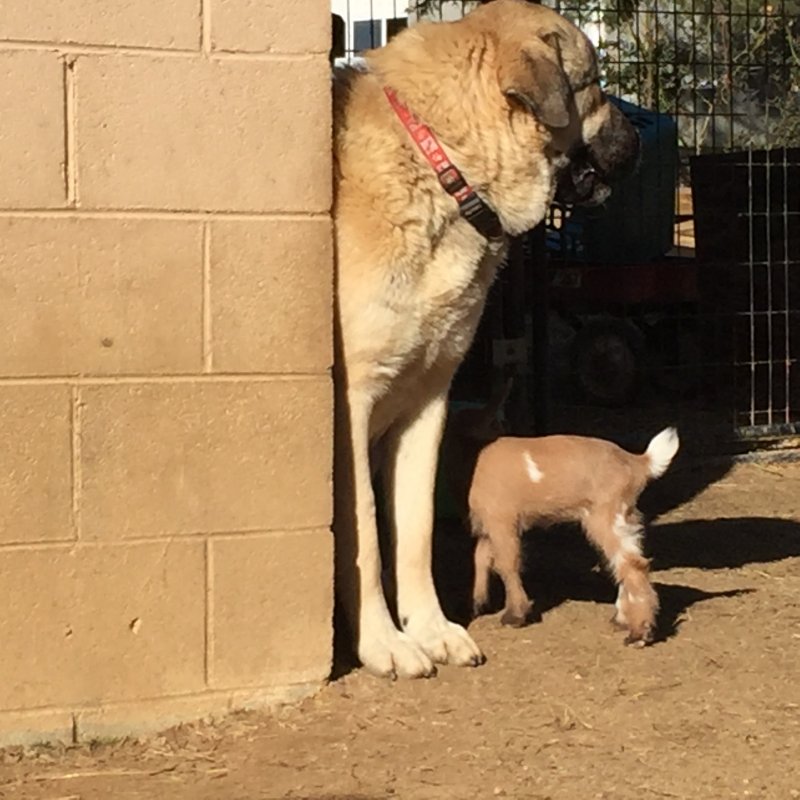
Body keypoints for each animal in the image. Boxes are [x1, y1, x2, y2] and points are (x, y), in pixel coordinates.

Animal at [332, 0, 636, 680]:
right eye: (593, 83)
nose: (637, 137)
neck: (442, 166)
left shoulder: (425, 402)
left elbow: (413, 529)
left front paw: (432, 629)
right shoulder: (352, 403)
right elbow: (365, 533)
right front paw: (384, 642)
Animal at [446, 390, 680, 648]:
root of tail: (637, 462)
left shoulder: (502, 519)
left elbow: (507, 563)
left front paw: (515, 615)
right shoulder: (487, 525)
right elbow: (480, 558)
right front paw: (476, 603)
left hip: (608, 514)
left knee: (632, 564)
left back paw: (639, 634)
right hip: (623, 517)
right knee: (625, 561)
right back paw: (623, 620)